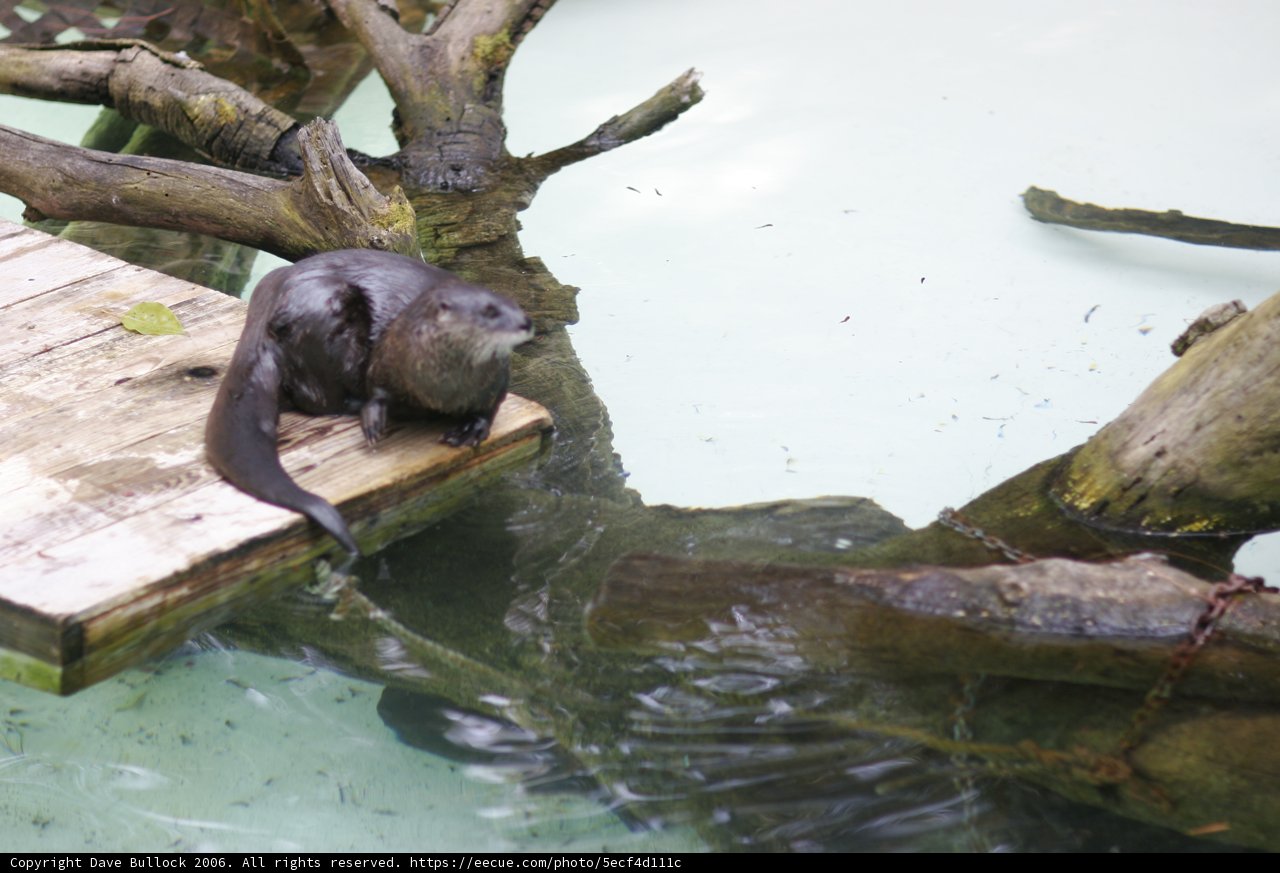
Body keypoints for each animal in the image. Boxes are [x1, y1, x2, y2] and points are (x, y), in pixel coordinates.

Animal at [205, 249, 534, 555]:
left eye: (517, 305)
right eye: (489, 311)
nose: (526, 321)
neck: (441, 387)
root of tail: (267, 304)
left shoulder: (497, 377)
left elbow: (491, 405)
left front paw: (472, 427)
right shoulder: (387, 357)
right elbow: (377, 387)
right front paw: (374, 417)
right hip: (326, 320)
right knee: (319, 399)